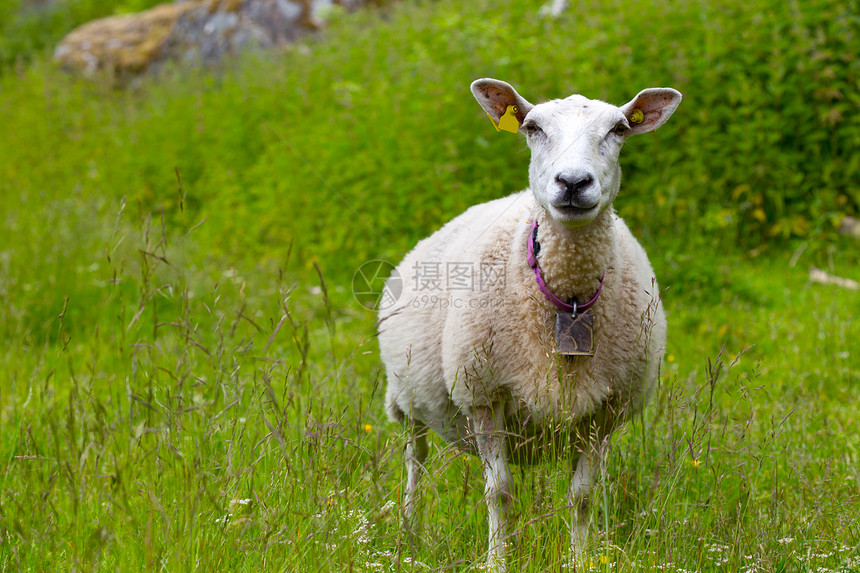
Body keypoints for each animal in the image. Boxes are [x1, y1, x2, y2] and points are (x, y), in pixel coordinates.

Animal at [376, 77, 680, 568]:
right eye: (533, 127)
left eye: (618, 129)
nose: (573, 183)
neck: (567, 299)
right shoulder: (483, 393)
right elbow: (499, 492)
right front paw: (497, 561)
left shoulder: (603, 409)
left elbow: (582, 496)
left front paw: (580, 559)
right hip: (406, 399)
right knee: (414, 460)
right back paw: (409, 534)